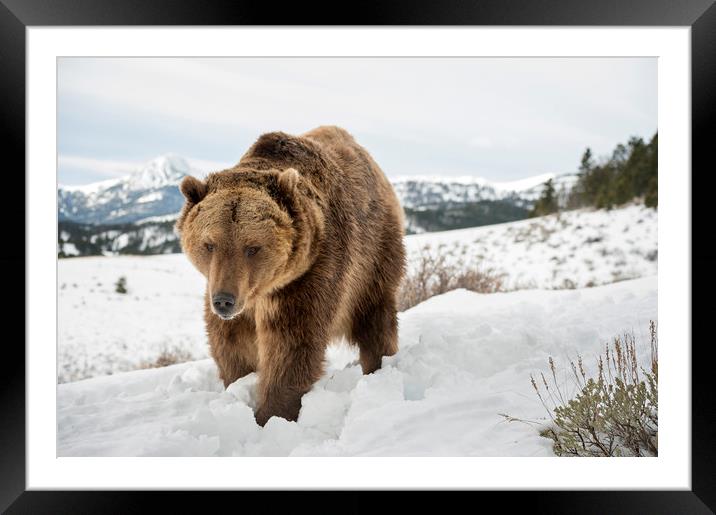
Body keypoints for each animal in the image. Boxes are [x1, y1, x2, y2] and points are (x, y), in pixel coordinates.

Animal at [176, 126, 406, 428]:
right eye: (209, 244)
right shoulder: (228, 294)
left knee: (376, 320)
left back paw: (379, 370)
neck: (261, 291)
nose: (224, 301)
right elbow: (232, 343)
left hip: (374, 257)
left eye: (252, 247)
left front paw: (271, 415)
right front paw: (239, 387)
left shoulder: (308, 276)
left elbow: (291, 347)